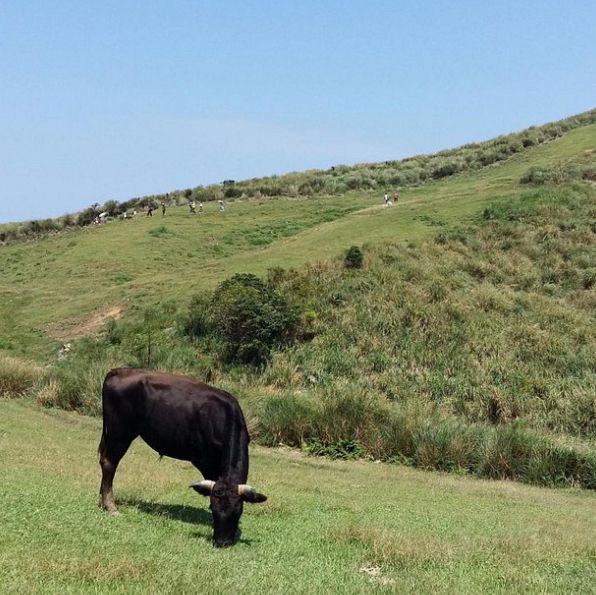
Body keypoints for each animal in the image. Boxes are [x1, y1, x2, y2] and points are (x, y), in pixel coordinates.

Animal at [99, 368, 266, 548]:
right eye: (214, 510)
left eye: (238, 511)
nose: (222, 542)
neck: (223, 417)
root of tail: (121, 370)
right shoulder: (206, 462)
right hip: (120, 432)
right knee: (109, 463)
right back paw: (110, 506)